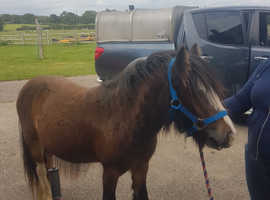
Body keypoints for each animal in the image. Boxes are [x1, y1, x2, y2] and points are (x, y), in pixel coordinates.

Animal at [16, 45, 235, 200]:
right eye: (192, 90)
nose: (229, 134)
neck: (124, 118)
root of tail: (29, 85)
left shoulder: (141, 168)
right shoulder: (110, 173)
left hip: (48, 147)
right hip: (35, 149)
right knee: (42, 181)